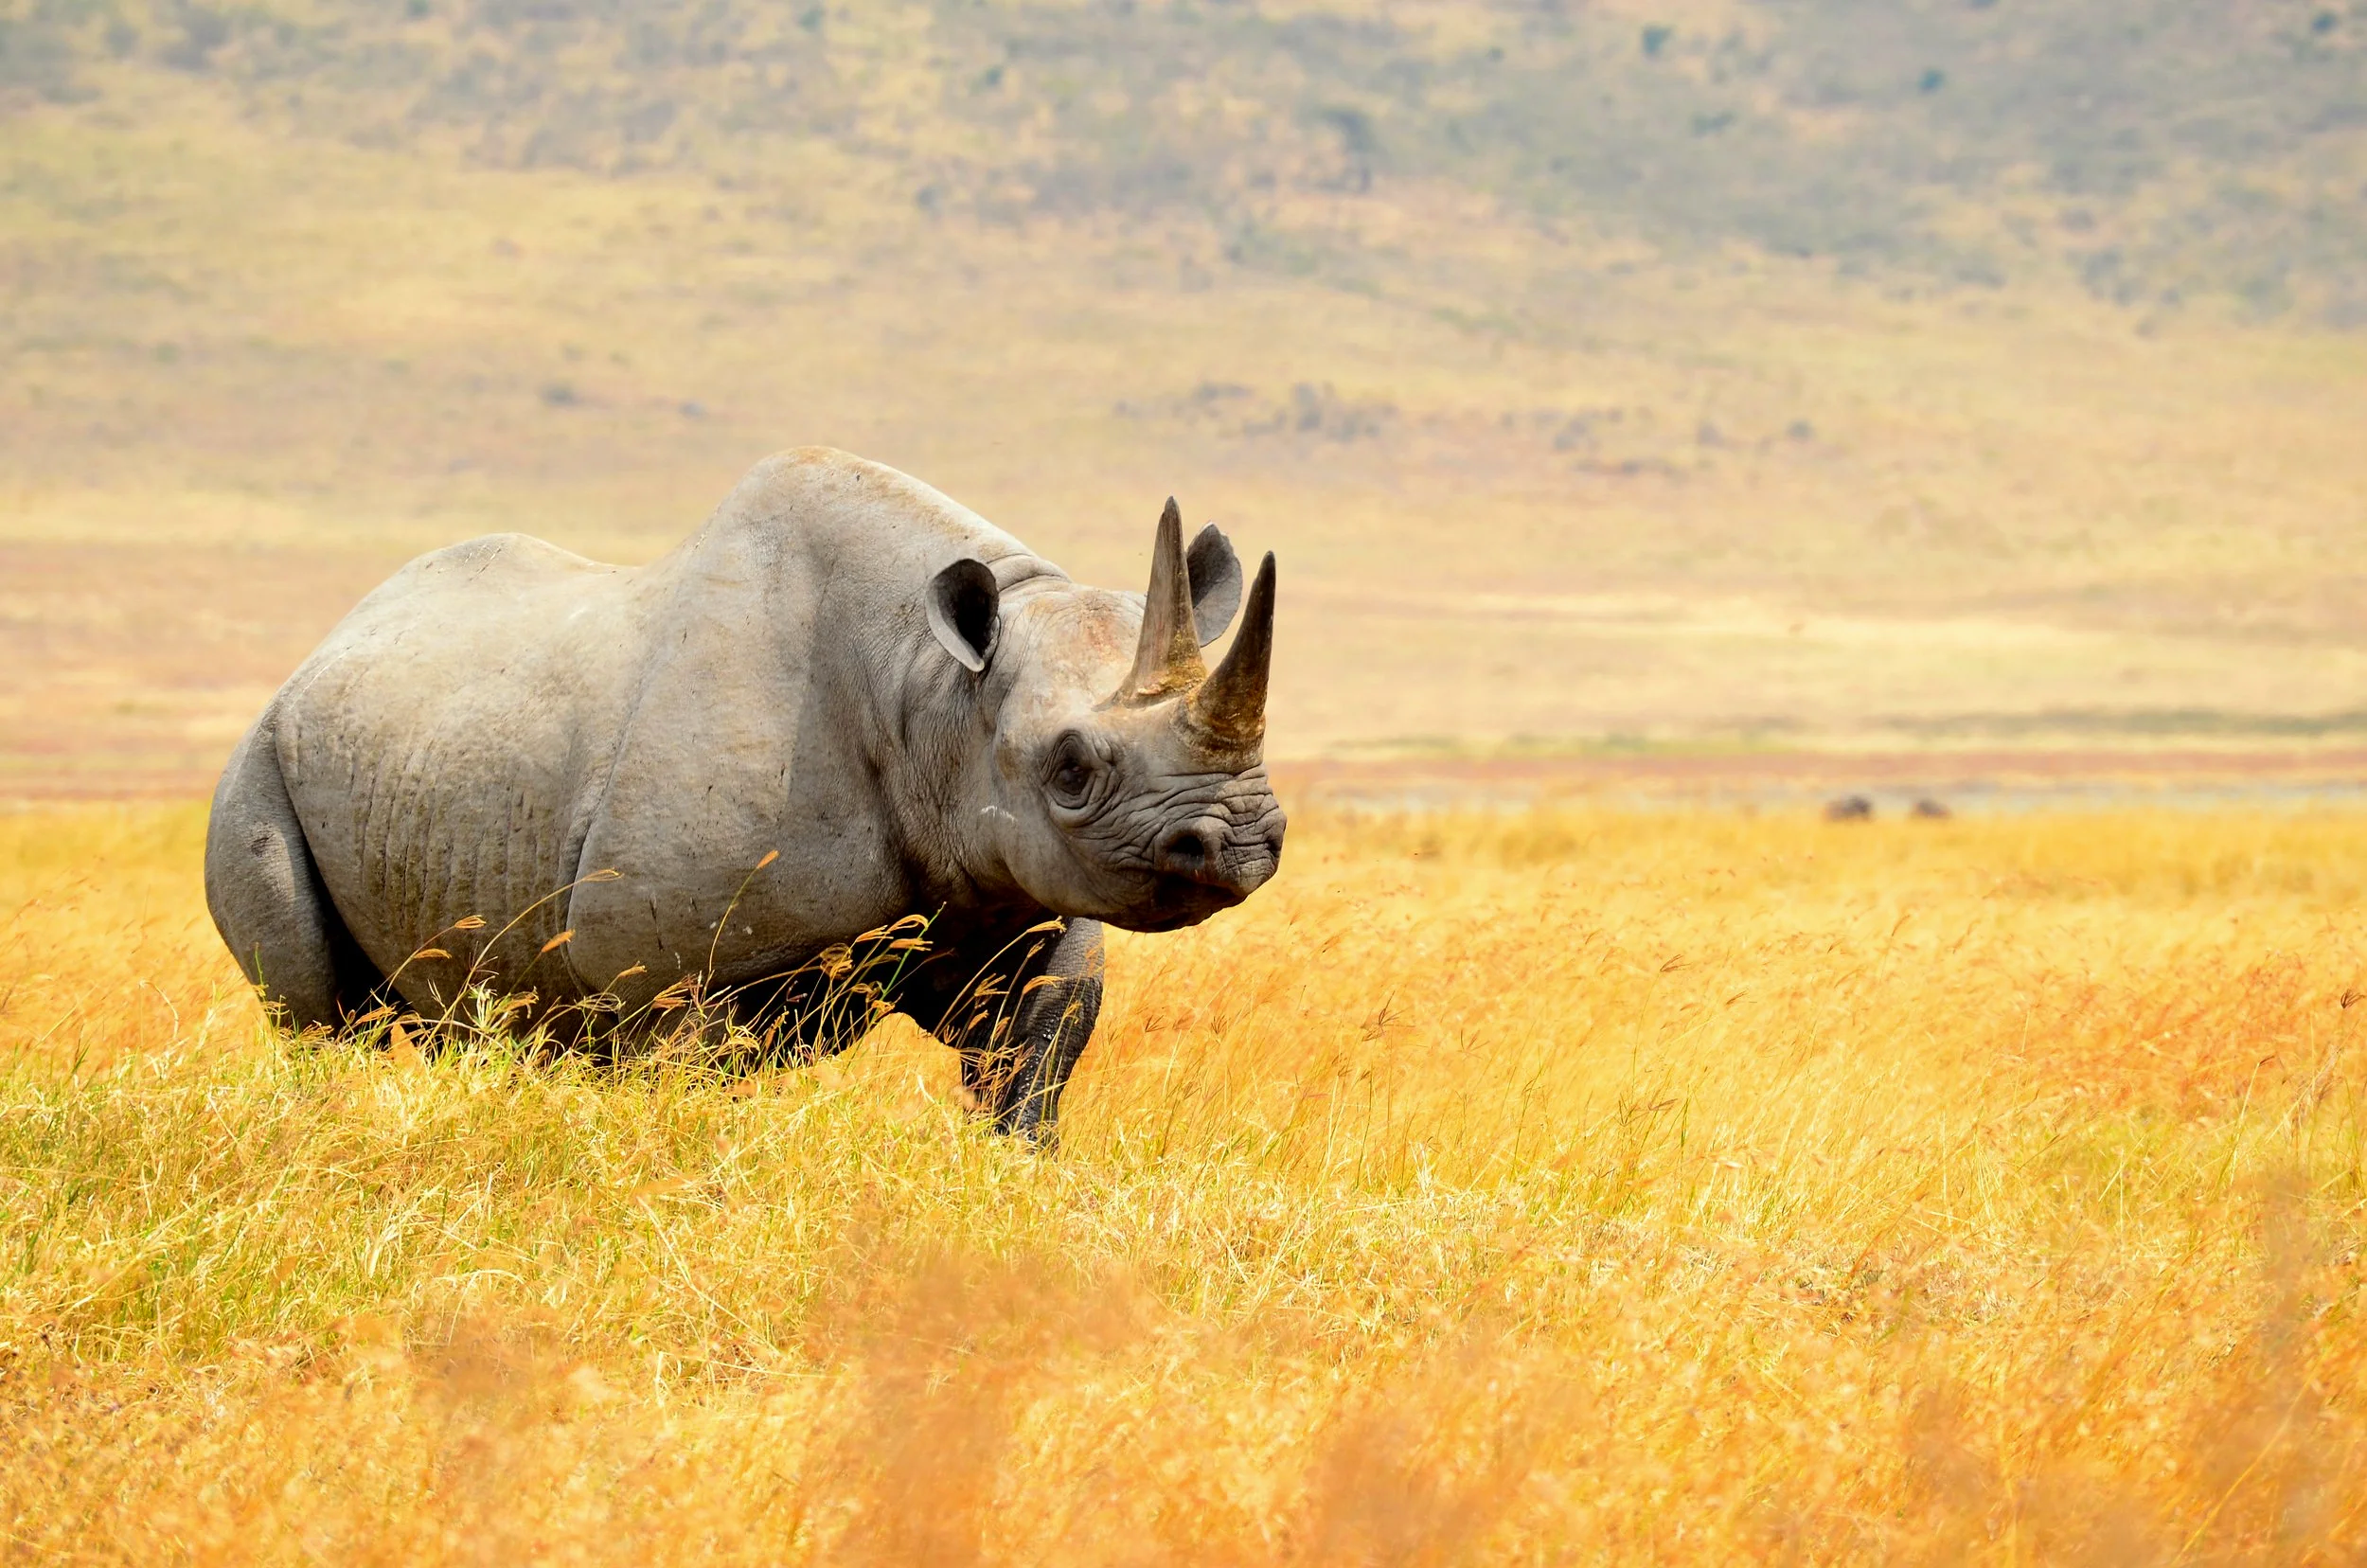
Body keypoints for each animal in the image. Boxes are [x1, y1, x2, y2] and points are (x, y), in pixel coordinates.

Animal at [204, 448, 1285, 1139]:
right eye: (1070, 769)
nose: (1240, 840)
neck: (935, 693)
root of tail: (321, 648)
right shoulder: (666, 969)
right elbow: (692, 1089)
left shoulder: (1012, 900)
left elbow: (1027, 1072)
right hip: (255, 761)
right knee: (316, 1019)